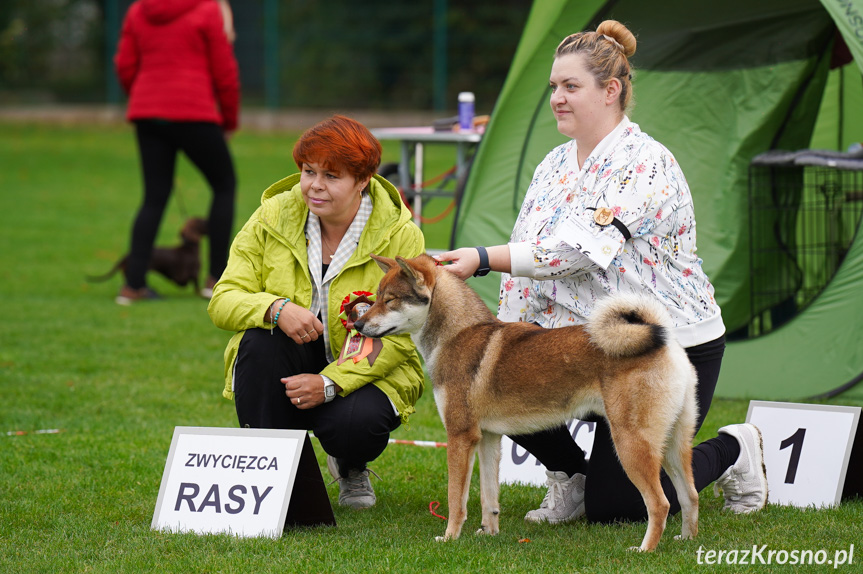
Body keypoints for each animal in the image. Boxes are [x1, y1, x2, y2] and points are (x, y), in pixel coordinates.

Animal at [354, 254, 700, 552]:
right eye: (376, 297)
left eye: (390, 300)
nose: (357, 325)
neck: (458, 335)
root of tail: (665, 340)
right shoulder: (488, 438)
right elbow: (489, 498)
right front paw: (488, 534)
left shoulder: (460, 436)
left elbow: (456, 499)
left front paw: (450, 537)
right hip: (673, 446)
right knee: (690, 496)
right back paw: (686, 541)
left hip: (630, 444)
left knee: (660, 504)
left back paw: (644, 550)